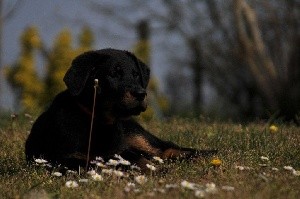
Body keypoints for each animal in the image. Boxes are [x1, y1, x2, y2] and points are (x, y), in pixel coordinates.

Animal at [25, 48, 217, 173]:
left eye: (136, 74)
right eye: (114, 74)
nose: (141, 94)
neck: (100, 122)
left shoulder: (121, 150)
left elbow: (136, 159)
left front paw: (154, 170)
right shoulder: (66, 158)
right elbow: (102, 162)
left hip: (136, 135)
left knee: (165, 149)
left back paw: (203, 156)